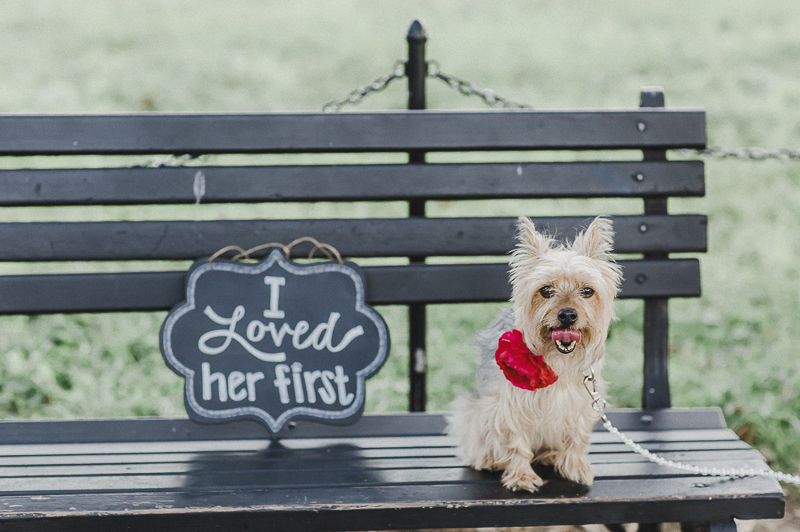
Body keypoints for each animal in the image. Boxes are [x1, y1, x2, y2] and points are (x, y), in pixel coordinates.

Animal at [446, 215, 620, 490]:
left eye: (587, 291)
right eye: (546, 290)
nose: (567, 315)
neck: (559, 358)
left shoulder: (581, 403)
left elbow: (576, 438)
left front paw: (576, 467)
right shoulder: (508, 405)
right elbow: (515, 442)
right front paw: (521, 476)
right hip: (473, 411)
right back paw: (487, 459)